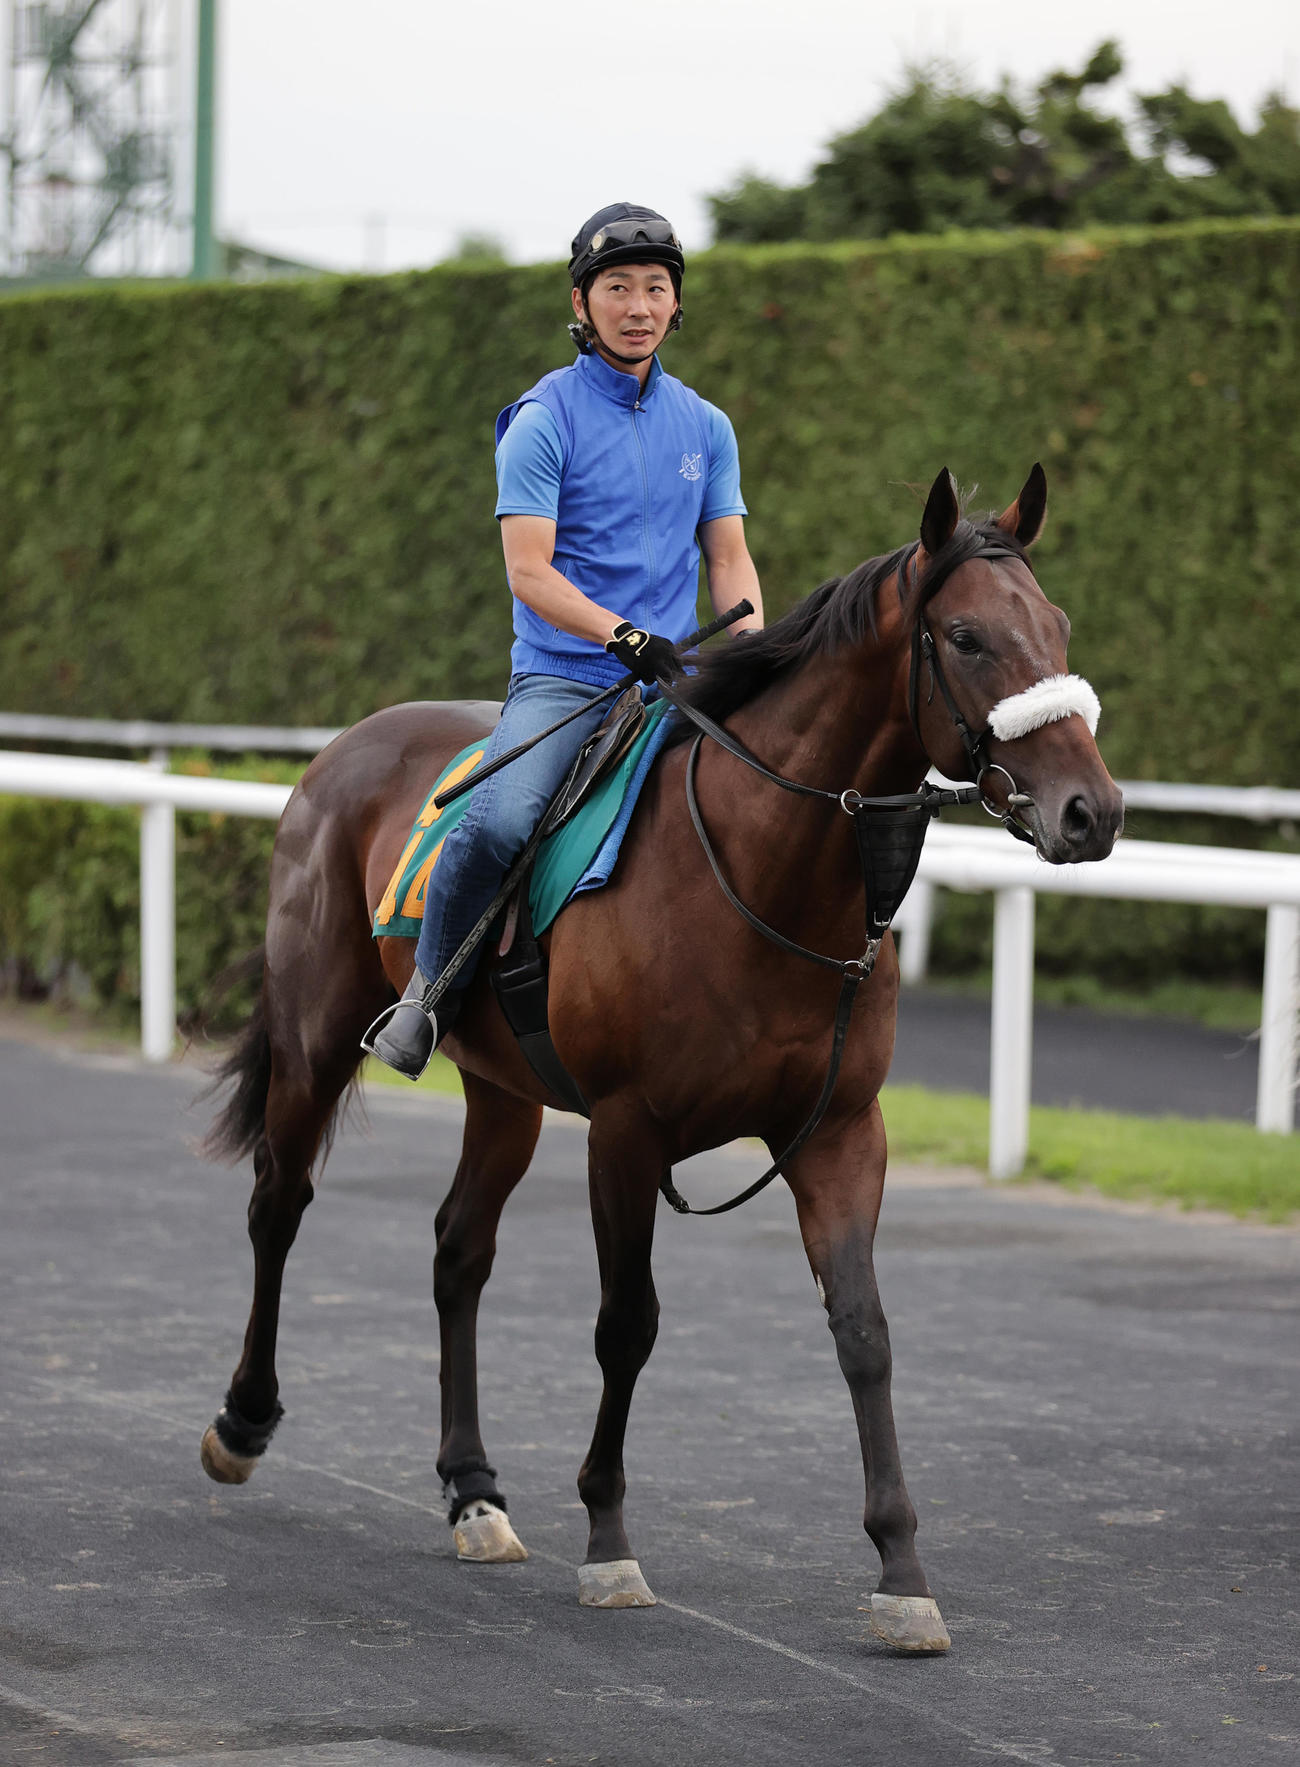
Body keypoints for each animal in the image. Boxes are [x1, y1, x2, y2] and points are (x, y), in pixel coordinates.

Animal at [199, 465, 1123, 1653]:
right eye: (965, 637)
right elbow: (625, 1324)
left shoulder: (837, 1131)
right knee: (280, 1202)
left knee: (458, 1250)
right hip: (319, 1036)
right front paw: (609, 1540)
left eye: (1058, 627)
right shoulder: (628, 1132)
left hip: (502, 1089)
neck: (760, 872)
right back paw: (242, 1421)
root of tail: (343, 749)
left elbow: (863, 1331)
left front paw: (902, 1571)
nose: (1091, 811)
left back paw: (473, 1492)